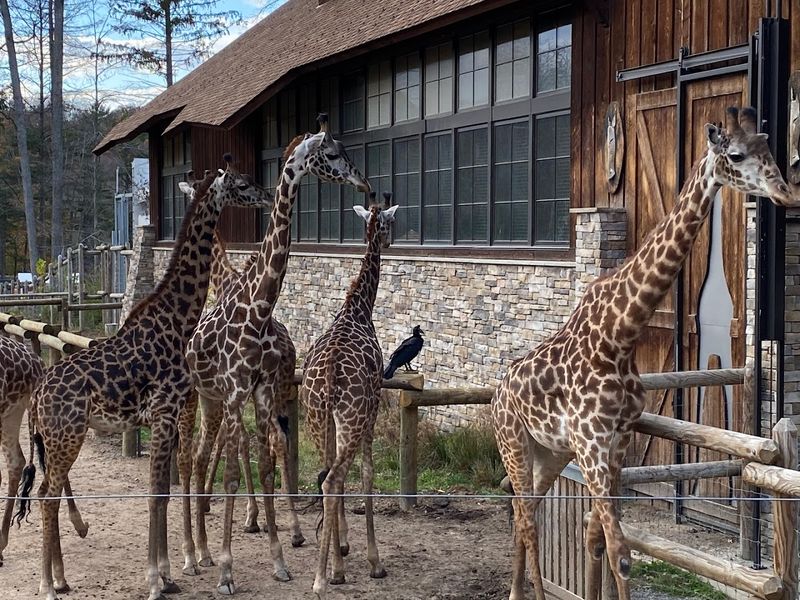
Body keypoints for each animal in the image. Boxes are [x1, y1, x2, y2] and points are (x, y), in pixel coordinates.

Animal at [17, 162, 271, 600]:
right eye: (241, 183)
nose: (268, 194)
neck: (178, 319)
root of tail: (36, 399)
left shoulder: (164, 418)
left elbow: (163, 493)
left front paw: (169, 576)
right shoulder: (166, 413)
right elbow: (156, 494)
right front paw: (156, 580)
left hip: (55, 439)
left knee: (48, 492)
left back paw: (60, 579)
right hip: (66, 436)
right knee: (47, 496)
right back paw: (47, 586)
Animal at [185, 115, 371, 595]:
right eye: (334, 153)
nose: (363, 183)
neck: (258, 310)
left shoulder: (262, 390)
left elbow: (267, 462)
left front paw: (279, 560)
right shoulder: (235, 393)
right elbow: (234, 472)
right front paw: (228, 572)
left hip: (218, 401)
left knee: (206, 457)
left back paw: (203, 552)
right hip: (197, 398)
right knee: (189, 459)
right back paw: (193, 557)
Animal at [491, 106, 796, 600]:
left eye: (769, 146)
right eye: (736, 154)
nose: (785, 191)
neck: (620, 334)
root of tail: (497, 392)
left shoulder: (616, 443)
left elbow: (599, 537)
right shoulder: (592, 445)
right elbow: (621, 552)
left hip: (549, 453)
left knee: (525, 511)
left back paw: (519, 591)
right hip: (513, 442)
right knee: (525, 517)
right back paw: (529, 591)